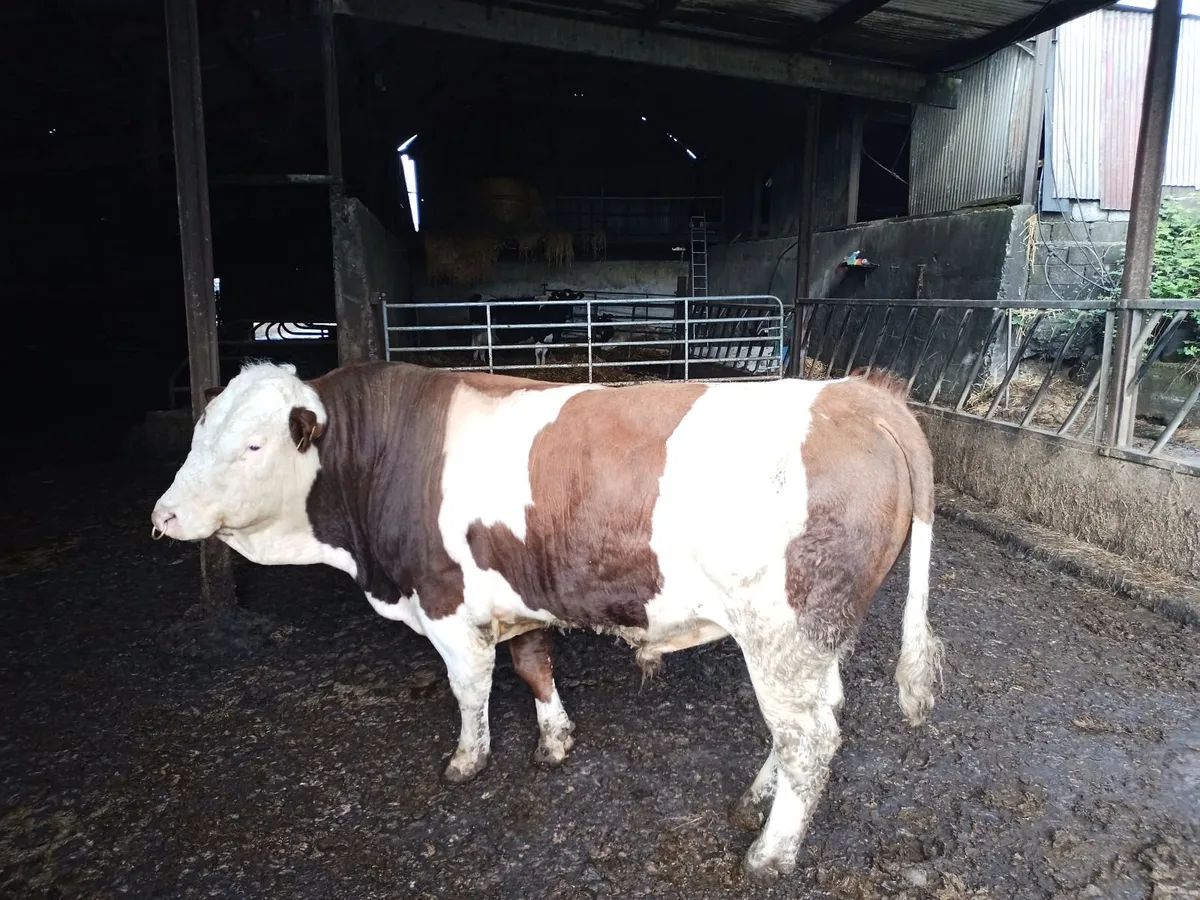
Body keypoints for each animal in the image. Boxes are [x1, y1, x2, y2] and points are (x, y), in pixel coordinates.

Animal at [150, 360, 942, 883]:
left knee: (809, 737)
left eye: (253, 445)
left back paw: (770, 854)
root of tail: (857, 393)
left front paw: (467, 759)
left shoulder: (444, 600)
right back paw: (757, 800)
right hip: (815, 637)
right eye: (195, 436)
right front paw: (555, 740)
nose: (164, 514)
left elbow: (469, 689)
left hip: (783, 633)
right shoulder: (515, 590)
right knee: (819, 716)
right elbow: (532, 664)